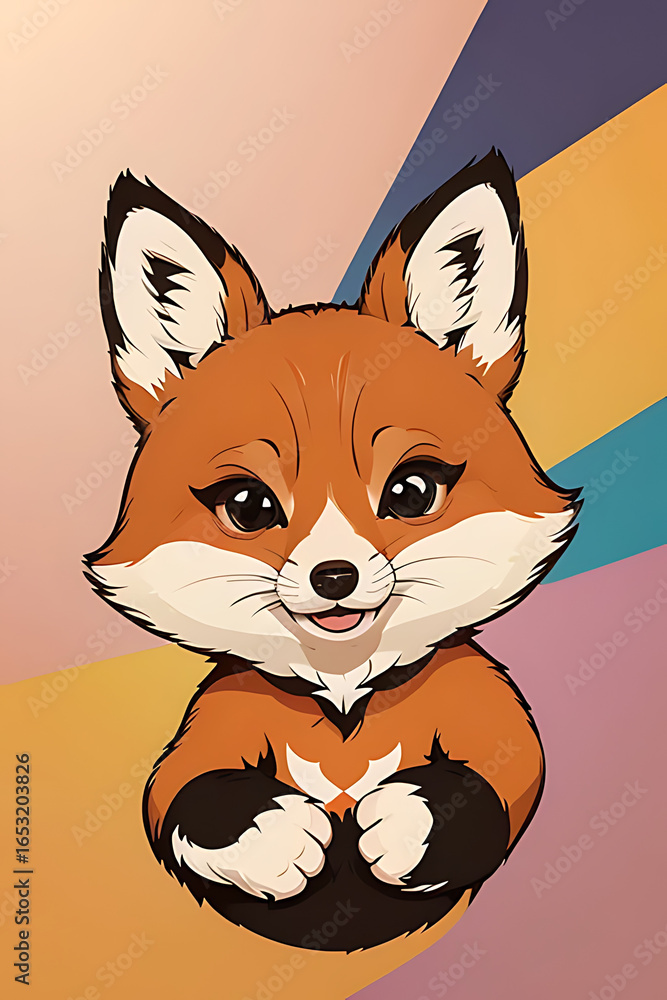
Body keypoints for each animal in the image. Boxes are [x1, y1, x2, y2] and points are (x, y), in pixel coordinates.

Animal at [85, 149, 580, 951]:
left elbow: (498, 782)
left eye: (411, 491)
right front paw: (272, 835)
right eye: (249, 506)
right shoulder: (212, 724)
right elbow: (181, 796)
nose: (335, 575)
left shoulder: (490, 712)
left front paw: (407, 820)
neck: (346, 706)